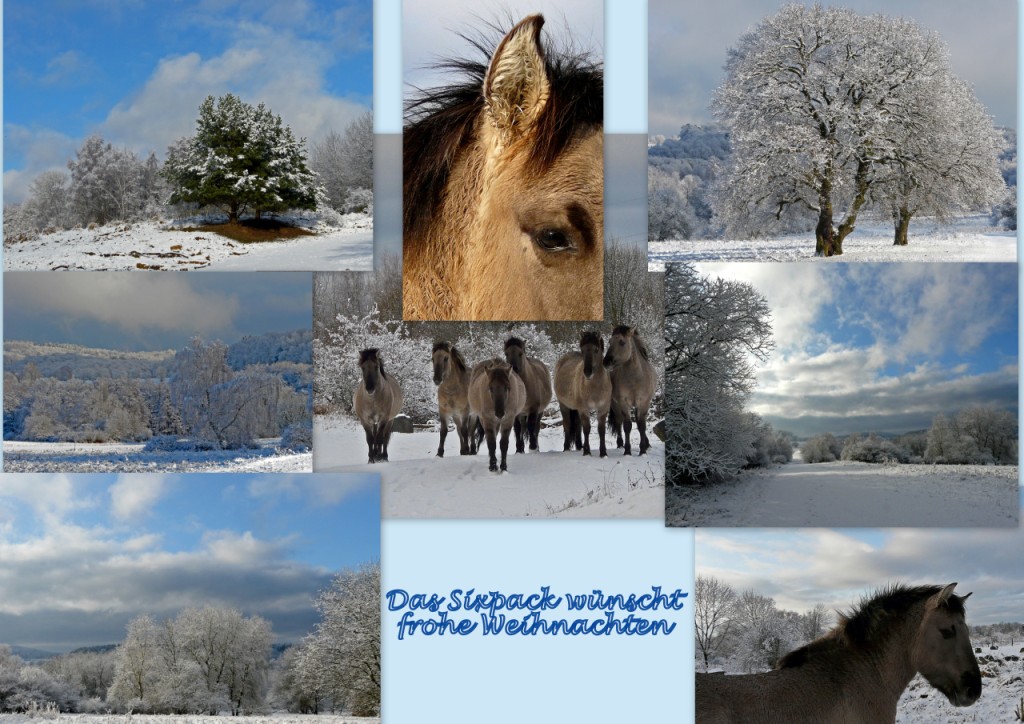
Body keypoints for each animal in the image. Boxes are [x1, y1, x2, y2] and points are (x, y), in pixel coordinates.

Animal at [598, 325, 655, 456]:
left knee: (639, 422)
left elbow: (642, 425)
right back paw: (620, 444)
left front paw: (643, 450)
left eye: (622, 342)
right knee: (619, 421)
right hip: (615, 405)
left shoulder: (644, 403)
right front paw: (627, 451)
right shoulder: (623, 402)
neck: (635, 378)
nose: (606, 361)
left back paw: (647, 443)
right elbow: (627, 426)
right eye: (610, 341)